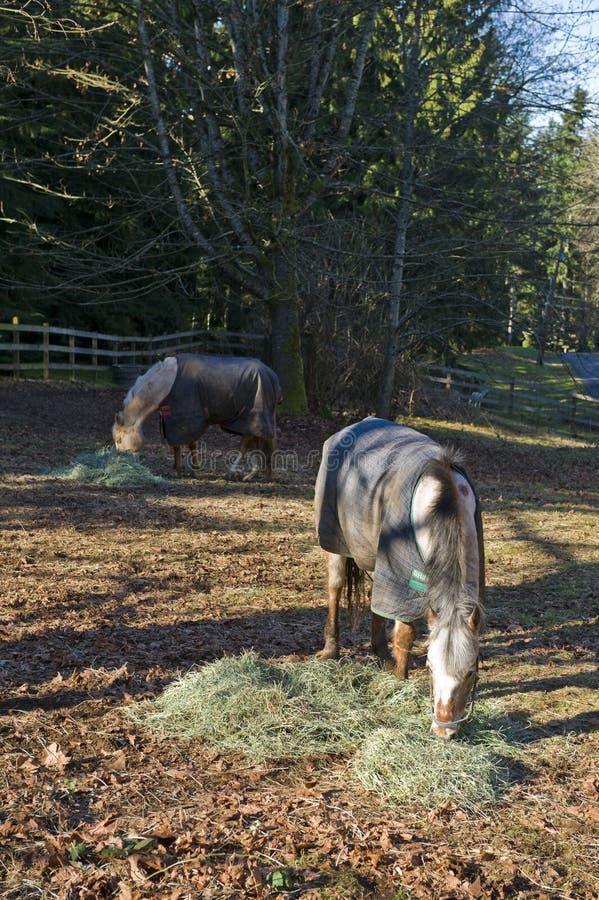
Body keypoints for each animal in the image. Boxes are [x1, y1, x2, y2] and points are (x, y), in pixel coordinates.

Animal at [113, 354, 282, 479]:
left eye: (119, 440)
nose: (122, 461)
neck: (168, 383)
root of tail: (271, 375)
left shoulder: (185, 419)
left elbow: (187, 444)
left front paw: (190, 469)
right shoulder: (172, 420)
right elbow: (182, 445)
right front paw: (183, 469)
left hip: (251, 417)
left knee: (246, 443)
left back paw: (233, 471)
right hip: (251, 420)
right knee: (254, 439)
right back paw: (254, 474)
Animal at [314, 417, 485, 739]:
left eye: (470, 672)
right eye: (430, 667)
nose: (443, 731)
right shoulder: (401, 577)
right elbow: (405, 633)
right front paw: (399, 679)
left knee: (376, 601)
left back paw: (380, 650)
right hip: (336, 544)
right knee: (335, 587)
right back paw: (331, 649)